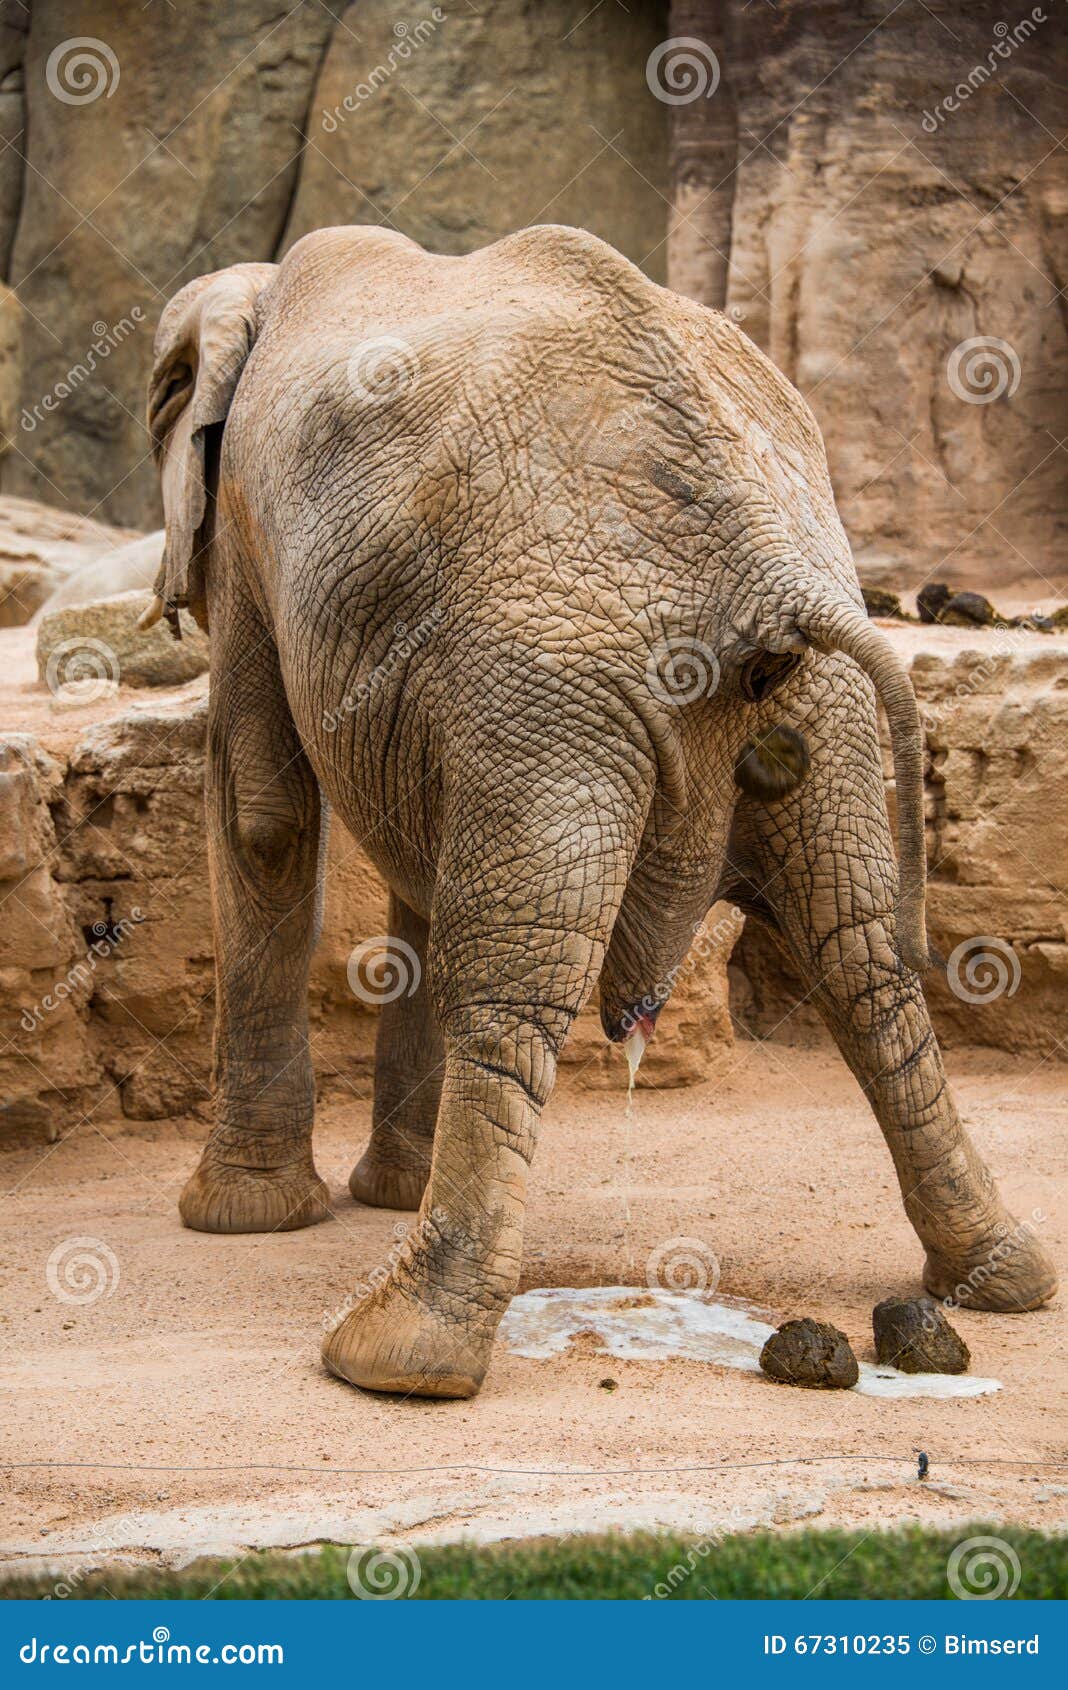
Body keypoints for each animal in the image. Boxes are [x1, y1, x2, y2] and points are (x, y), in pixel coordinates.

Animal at [146, 221, 1054, 1399]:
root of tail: (760, 562)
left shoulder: (255, 540)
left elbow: (263, 810)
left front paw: (244, 1222)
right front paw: (369, 1194)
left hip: (553, 686)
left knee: (518, 968)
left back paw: (393, 1359)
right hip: (803, 698)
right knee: (860, 954)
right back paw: (1002, 1278)